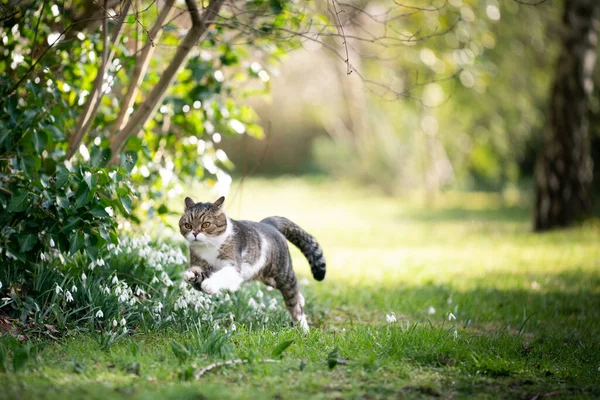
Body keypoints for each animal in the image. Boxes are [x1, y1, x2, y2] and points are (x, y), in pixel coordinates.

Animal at [179, 196, 326, 332]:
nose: (195, 233)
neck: (208, 248)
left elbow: (221, 274)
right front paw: (190, 274)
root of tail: (269, 223)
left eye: (206, 224)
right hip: (269, 279)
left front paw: (210, 284)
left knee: (293, 300)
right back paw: (302, 301)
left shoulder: (234, 269)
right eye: (188, 225)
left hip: (283, 275)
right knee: (295, 292)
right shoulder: (202, 266)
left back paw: (303, 327)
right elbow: (198, 277)